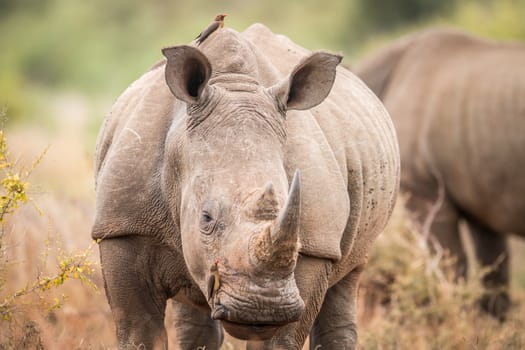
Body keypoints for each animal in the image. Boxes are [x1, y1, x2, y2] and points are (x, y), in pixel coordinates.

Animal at [93, 23, 398, 348]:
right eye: (206, 217)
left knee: (350, 275)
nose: (264, 305)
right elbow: (138, 331)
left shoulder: (317, 246)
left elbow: (280, 340)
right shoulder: (122, 226)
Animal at [356, 28, 524, 320]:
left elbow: (448, 263)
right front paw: (492, 326)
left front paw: (453, 319)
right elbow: (494, 268)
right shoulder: (483, 195)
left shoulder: (424, 189)